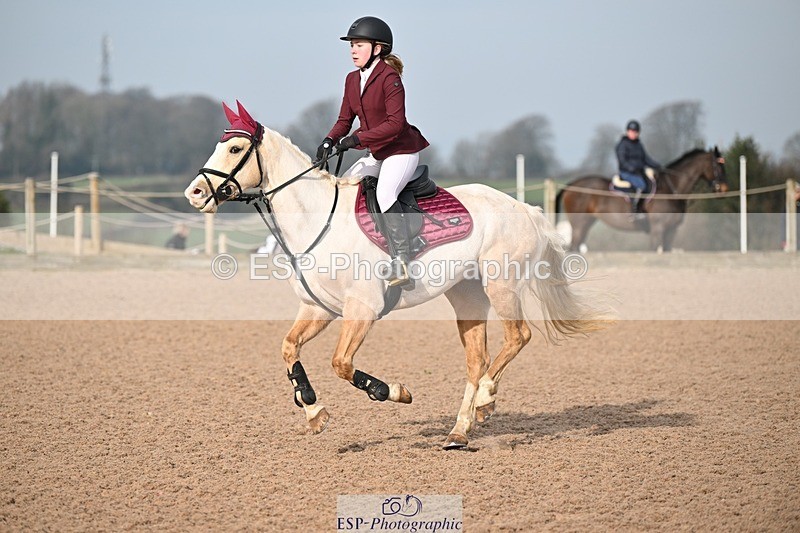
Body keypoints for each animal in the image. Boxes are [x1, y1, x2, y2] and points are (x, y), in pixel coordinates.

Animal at [184, 102, 612, 449]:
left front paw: (392, 391)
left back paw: (486, 401)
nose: (194, 194)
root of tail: (525, 207)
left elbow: (341, 363)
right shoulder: (318, 308)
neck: (316, 221)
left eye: (234, 149)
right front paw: (314, 411)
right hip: (468, 296)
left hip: (501, 285)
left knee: (518, 337)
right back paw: (459, 431)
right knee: (477, 360)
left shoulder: (363, 309)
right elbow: (289, 349)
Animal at [556, 148, 728, 252]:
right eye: (717, 166)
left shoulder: (671, 230)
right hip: (579, 225)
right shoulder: (658, 229)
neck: (671, 189)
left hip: (586, 224)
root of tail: (571, 184)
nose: (724, 188)